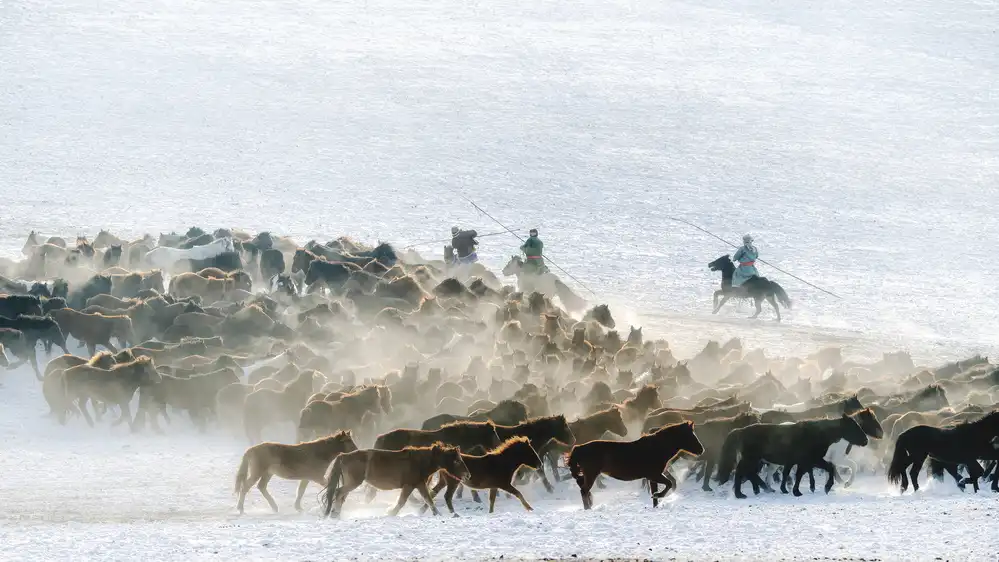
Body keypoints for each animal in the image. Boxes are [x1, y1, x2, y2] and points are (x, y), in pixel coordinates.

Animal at [568, 421, 704, 509]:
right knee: (584, 491)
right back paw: (588, 509)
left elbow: (657, 492)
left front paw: (655, 504)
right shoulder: (654, 475)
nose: (701, 450)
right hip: (591, 474)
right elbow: (669, 484)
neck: (657, 448)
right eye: (690, 435)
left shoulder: (652, 477)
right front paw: (658, 495)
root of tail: (578, 448)